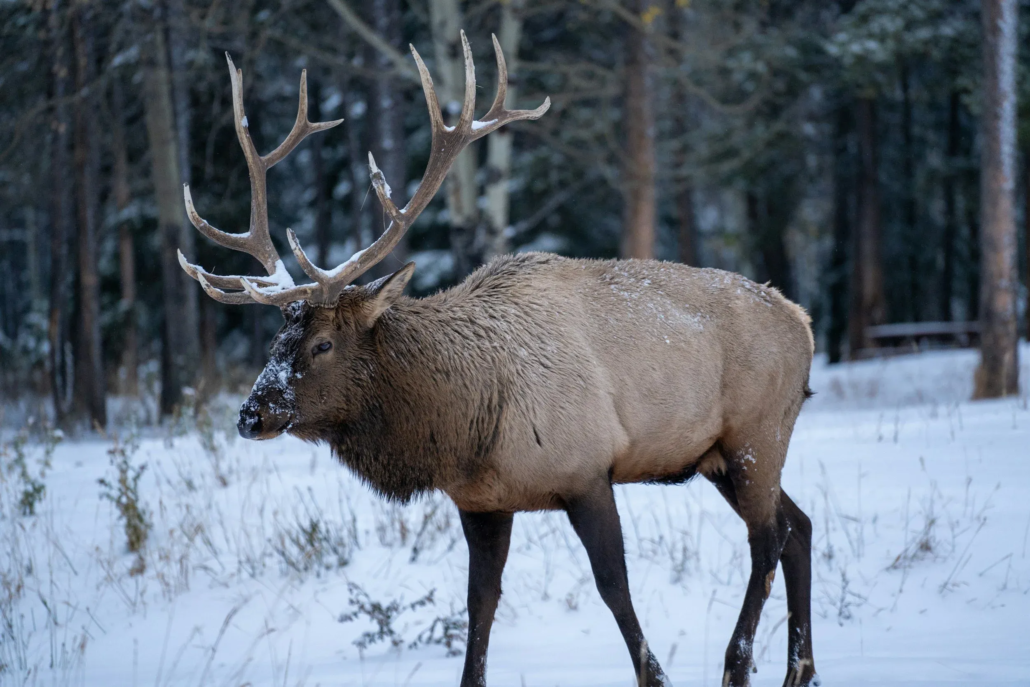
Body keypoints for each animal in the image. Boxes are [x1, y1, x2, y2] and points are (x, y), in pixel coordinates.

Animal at [177, 33, 818, 687]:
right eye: (276, 342)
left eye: (322, 343)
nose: (250, 415)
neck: (464, 425)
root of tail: (803, 321)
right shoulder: (481, 502)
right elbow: (479, 601)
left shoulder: (587, 470)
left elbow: (614, 586)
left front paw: (657, 676)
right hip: (717, 455)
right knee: (800, 527)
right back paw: (799, 666)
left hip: (756, 433)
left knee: (768, 537)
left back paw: (739, 664)